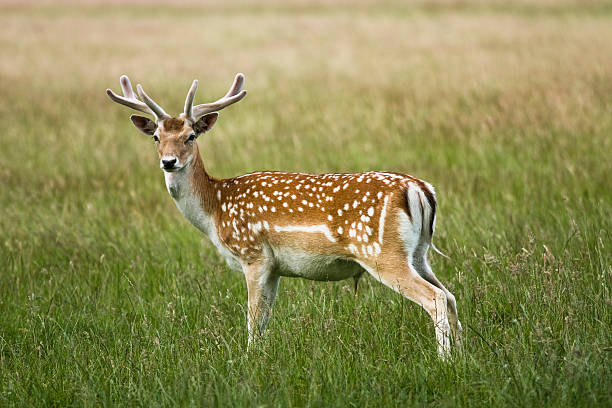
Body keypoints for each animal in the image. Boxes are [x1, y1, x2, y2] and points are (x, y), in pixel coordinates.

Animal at [106, 73, 460, 356]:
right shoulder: (275, 267)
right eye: (156, 137)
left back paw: (443, 361)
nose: (169, 162)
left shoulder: (253, 255)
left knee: (435, 299)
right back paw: (461, 359)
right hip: (417, 253)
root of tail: (421, 190)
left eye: (190, 136)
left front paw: (249, 360)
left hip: (383, 253)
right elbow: (264, 320)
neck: (215, 208)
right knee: (450, 296)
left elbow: (253, 320)